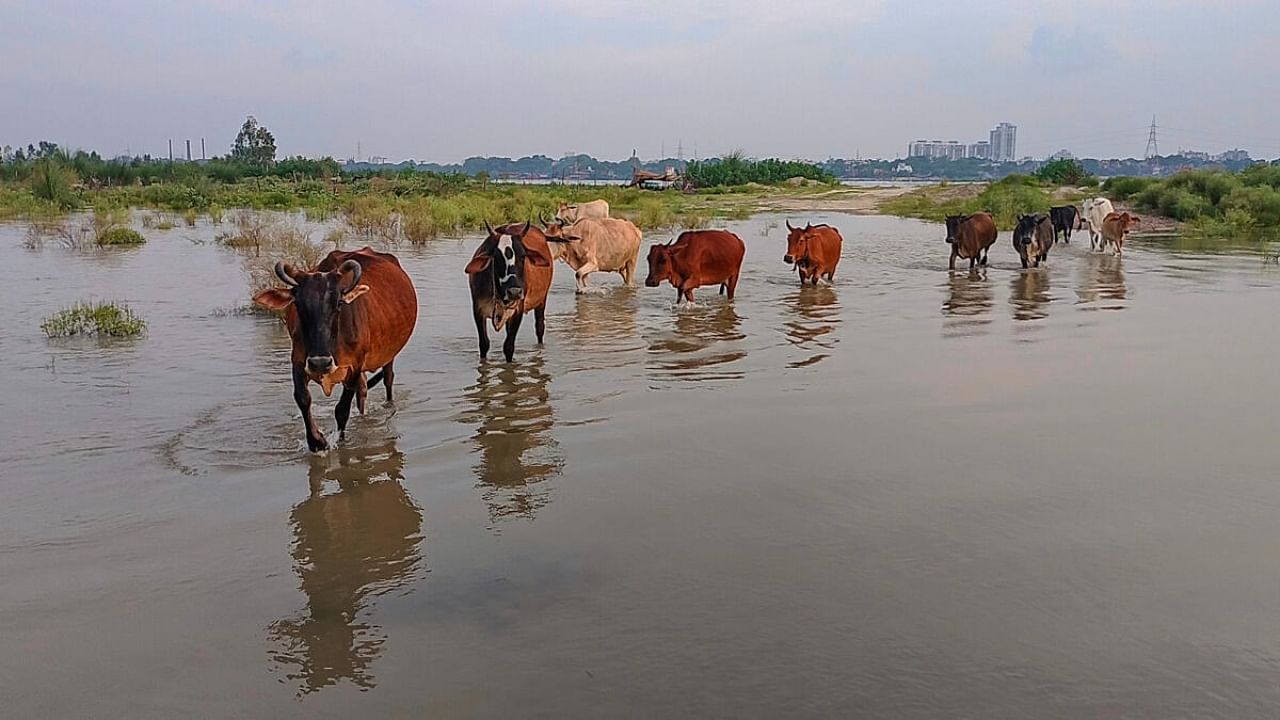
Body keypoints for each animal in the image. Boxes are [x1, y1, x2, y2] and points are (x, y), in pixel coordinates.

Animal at [254, 245, 419, 448]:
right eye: (298, 305)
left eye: (339, 303)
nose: (320, 363)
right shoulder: (298, 361)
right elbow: (303, 398)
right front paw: (316, 441)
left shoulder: (354, 367)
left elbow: (342, 410)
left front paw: (340, 442)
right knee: (362, 391)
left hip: (389, 355)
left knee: (387, 379)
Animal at [468, 220, 552, 358]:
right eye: (497, 257)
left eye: (523, 256)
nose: (514, 292)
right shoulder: (478, 309)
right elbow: (484, 344)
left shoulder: (518, 310)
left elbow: (508, 347)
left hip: (542, 300)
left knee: (540, 327)